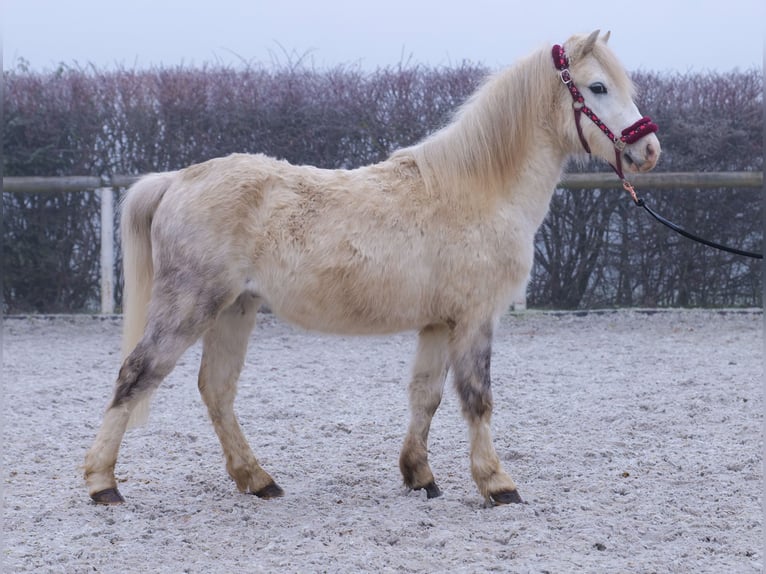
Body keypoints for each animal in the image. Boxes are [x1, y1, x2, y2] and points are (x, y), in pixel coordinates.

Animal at [84, 31, 660, 506]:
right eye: (598, 87)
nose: (648, 147)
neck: (479, 189)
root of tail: (177, 179)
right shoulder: (475, 318)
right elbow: (477, 400)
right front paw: (496, 483)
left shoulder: (438, 323)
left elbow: (426, 396)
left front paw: (420, 476)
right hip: (189, 306)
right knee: (137, 375)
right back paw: (102, 483)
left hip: (234, 310)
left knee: (217, 390)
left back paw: (258, 480)